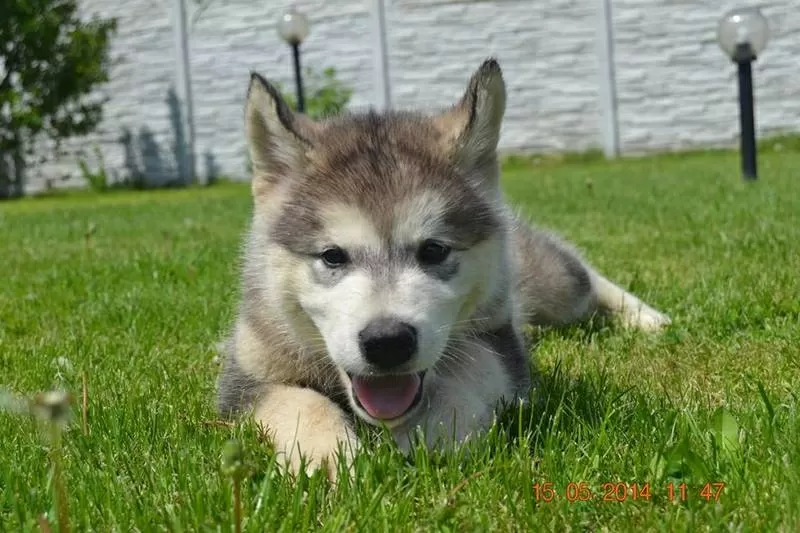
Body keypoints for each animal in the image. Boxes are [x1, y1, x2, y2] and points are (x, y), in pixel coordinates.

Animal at [214, 60, 668, 480]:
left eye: (434, 250)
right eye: (332, 256)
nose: (387, 343)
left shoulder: (500, 340)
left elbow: (473, 366)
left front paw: (434, 427)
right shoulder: (244, 375)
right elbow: (295, 400)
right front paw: (323, 453)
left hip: (551, 285)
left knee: (583, 276)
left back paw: (648, 318)